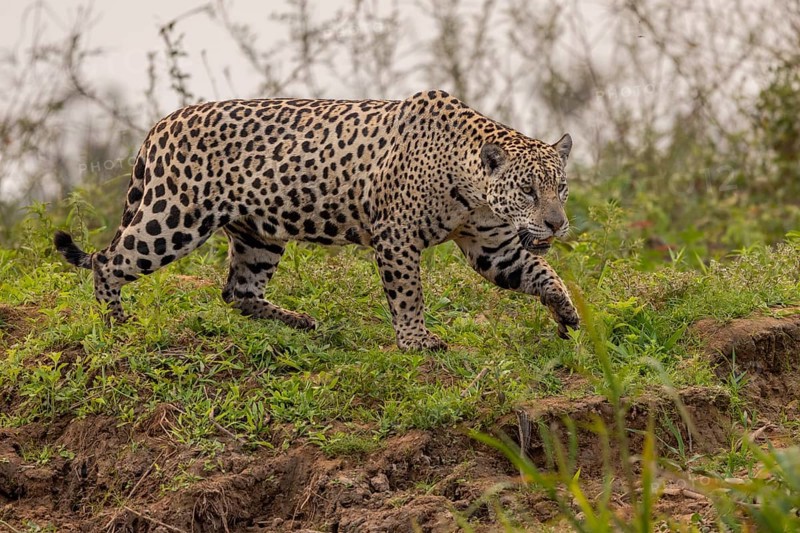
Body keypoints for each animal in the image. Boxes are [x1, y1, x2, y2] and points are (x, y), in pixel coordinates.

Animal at [54, 90, 579, 351]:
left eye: (560, 188)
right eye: (528, 190)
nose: (557, 225)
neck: (473, 190)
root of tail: (161, 124)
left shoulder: (493, 246)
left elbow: (542, 274)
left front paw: (568, 315)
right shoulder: (396, 237)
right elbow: (408, 294)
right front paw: (416, 341)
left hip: (257, 234)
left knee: (237, 292)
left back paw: (300, 321)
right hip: (174, 217)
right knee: (107, 261)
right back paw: (116, 324)